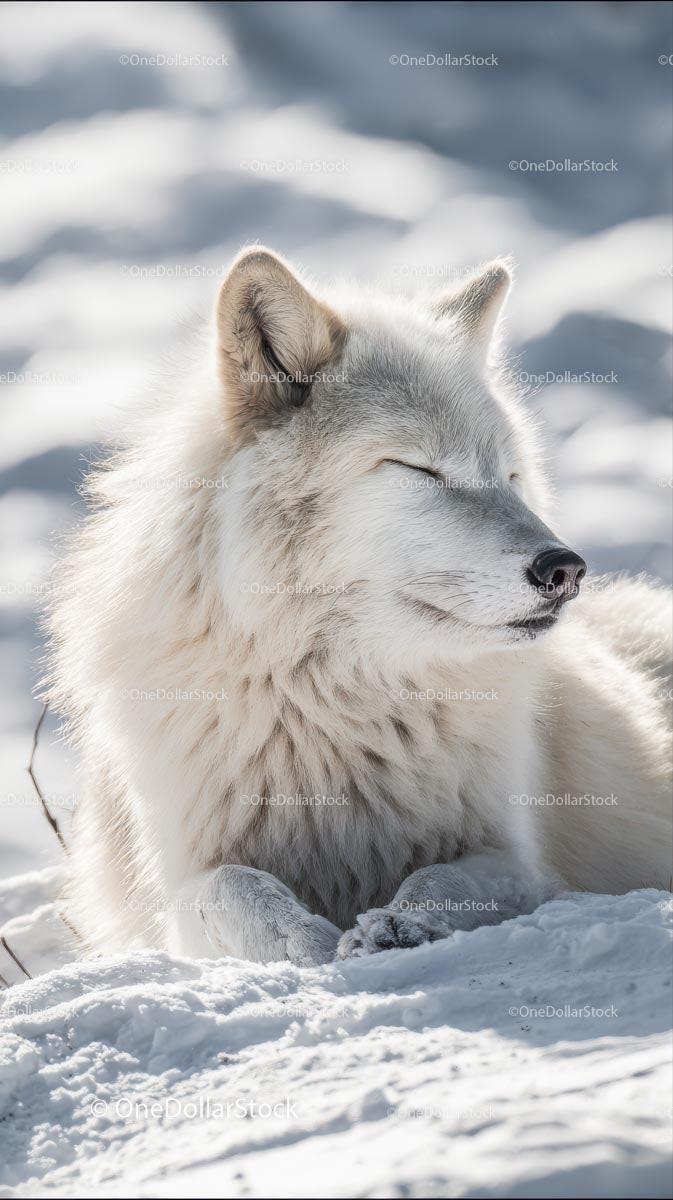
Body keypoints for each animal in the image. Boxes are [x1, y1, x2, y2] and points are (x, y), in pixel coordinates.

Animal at [46, 246, 672, 964]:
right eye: (420, 470)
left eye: (509, 476)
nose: (565, 569)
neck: (331, 705)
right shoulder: (179, 885)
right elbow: (231, 887)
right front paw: (304, 941)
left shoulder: (518, 858)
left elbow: (445, 877)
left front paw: (399, 924)